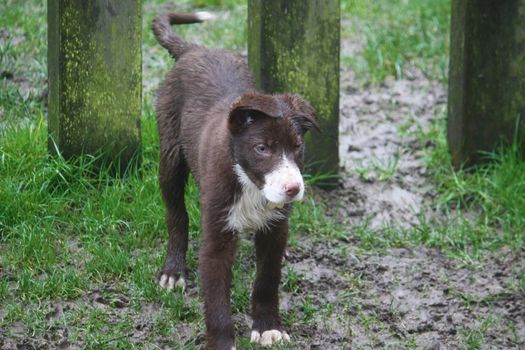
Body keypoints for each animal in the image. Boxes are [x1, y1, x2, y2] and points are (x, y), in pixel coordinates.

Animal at [151, 10, 320, 350]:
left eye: (297, 146)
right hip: (170, 156)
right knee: (176, 213)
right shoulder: (216, 234)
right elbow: (216, 296)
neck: (251, 185)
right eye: (262, 148)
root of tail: (195, 49)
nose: (293, 189)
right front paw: (222, 341)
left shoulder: (275, 229)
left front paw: (268, 327)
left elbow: (267, 279)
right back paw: (173, 270)